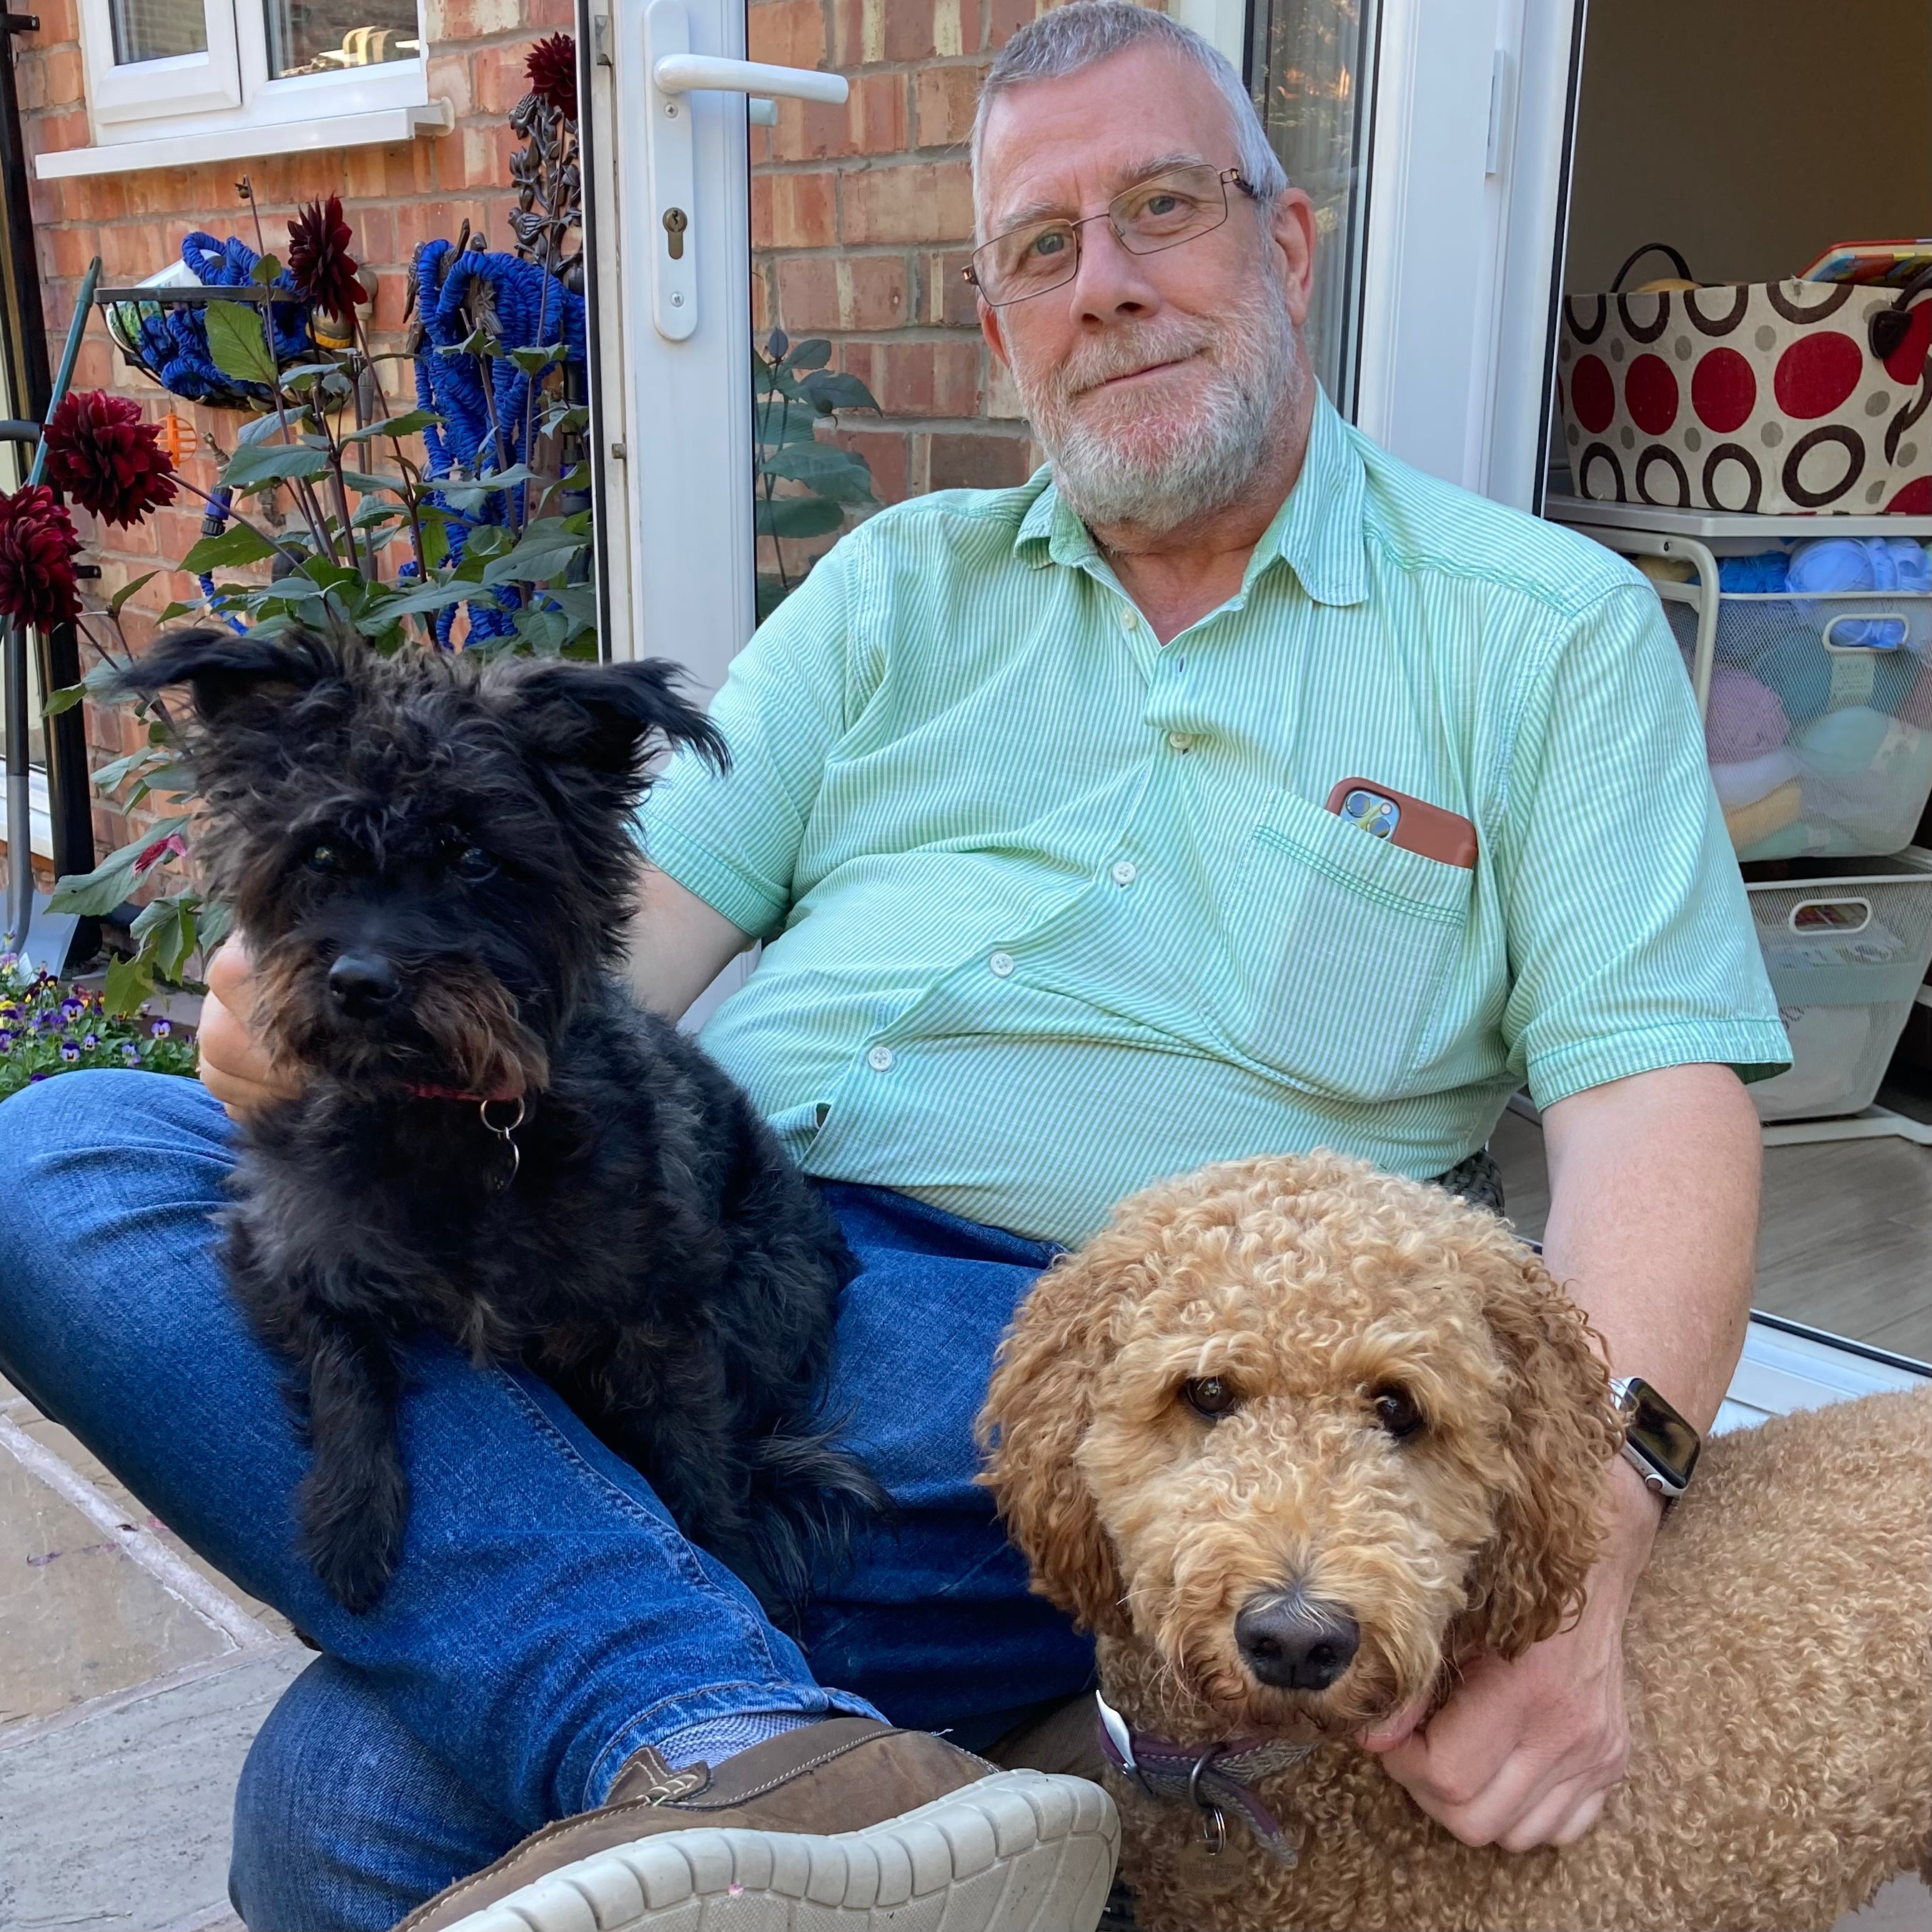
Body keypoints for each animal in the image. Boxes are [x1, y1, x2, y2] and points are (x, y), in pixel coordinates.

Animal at [132, 630, 884, 1615]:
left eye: (475, 859)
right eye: (322, 856)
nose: (362, 982)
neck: (446, 1112)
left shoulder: (664, 1312)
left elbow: (696, 1455)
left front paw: (736, 1561)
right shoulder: (280, 1246)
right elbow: (344, 1367)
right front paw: (351, 1520)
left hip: (770, 1288)